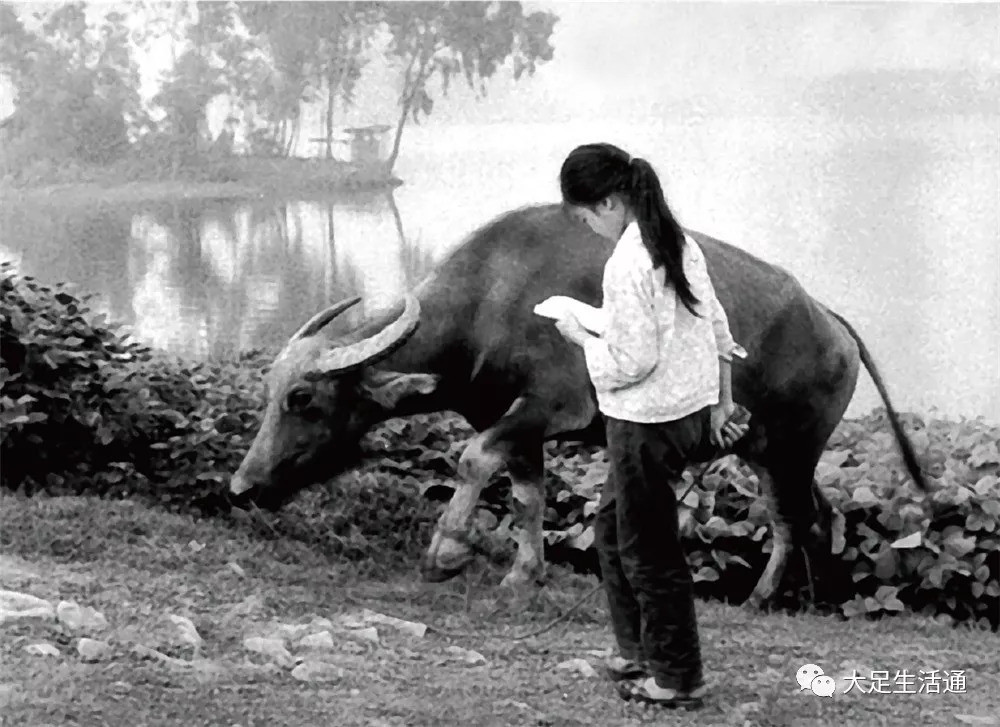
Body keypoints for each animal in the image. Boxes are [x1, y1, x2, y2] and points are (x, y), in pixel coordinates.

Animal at [229, 202, 928, 604]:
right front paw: (523, 573)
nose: (242, 487)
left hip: (793, 447)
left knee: (796, 520)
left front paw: (446, 552)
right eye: (268, 392)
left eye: (302, 398)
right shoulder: (515, 424)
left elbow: (472, 459)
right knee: (814, 516)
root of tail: (832, 322)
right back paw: (799, 601)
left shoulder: (548, 408)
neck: (493, 300)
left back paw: (770, 599)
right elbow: (527, 494)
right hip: (770, 451)